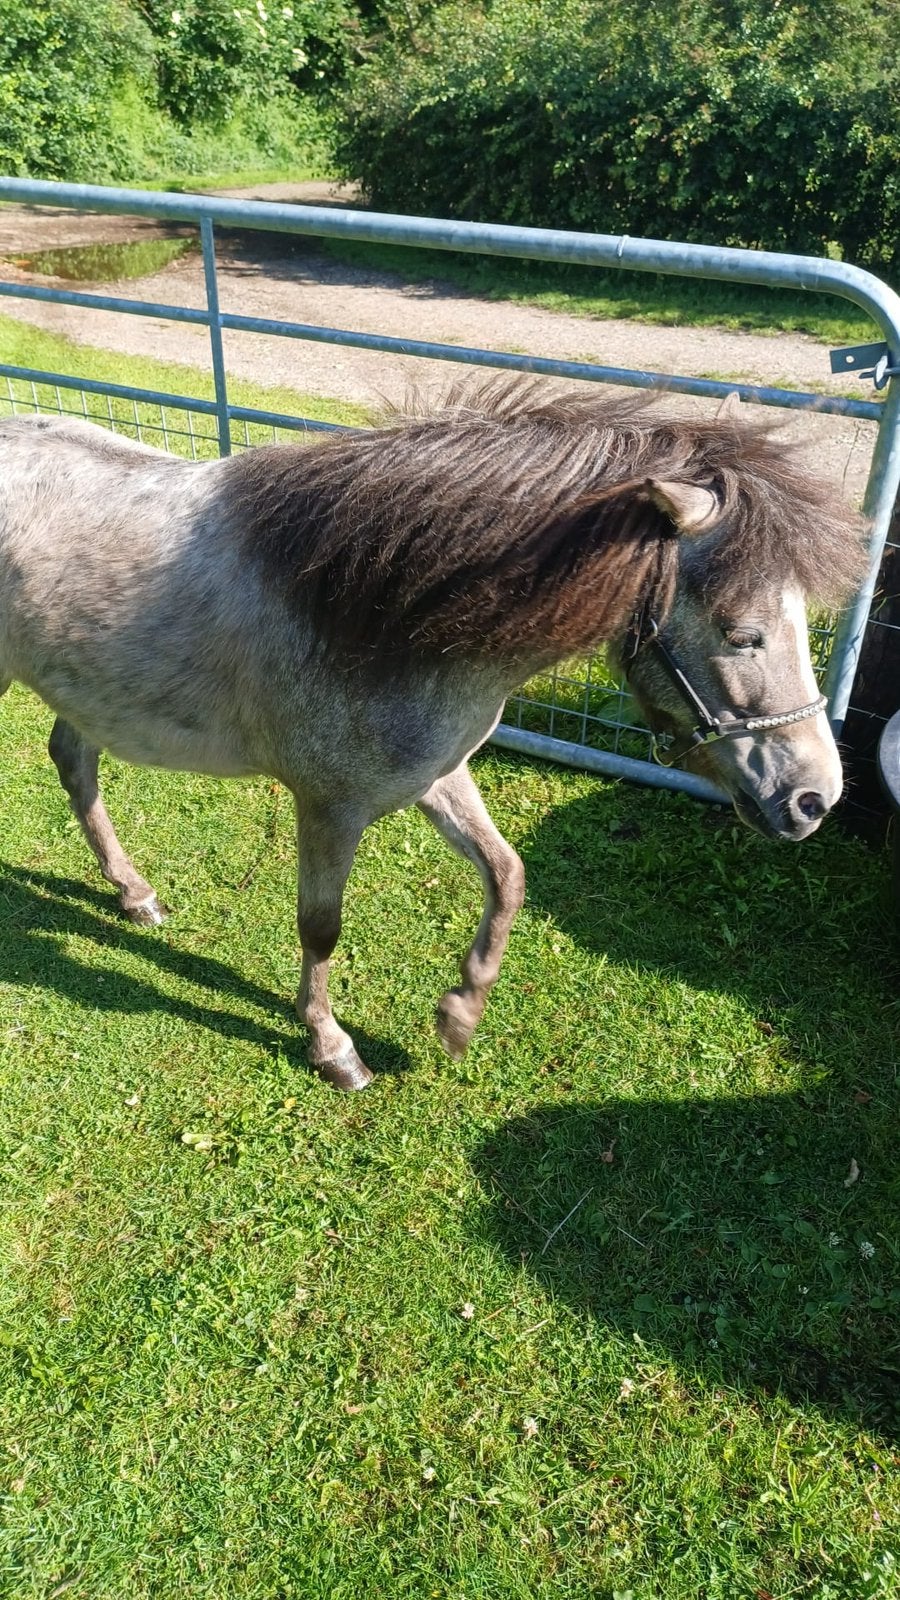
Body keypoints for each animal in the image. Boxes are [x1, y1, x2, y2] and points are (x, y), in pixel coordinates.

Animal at [0, 386, 864, 1089]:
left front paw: (459, 1013)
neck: (370, 610)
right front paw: (333, 1049)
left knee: (74, 763)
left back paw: (133, 892)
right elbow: (321, 928)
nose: (814, 798)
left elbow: (507, 874)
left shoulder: (438, 774)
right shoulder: (327, 807)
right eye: (742, 633)